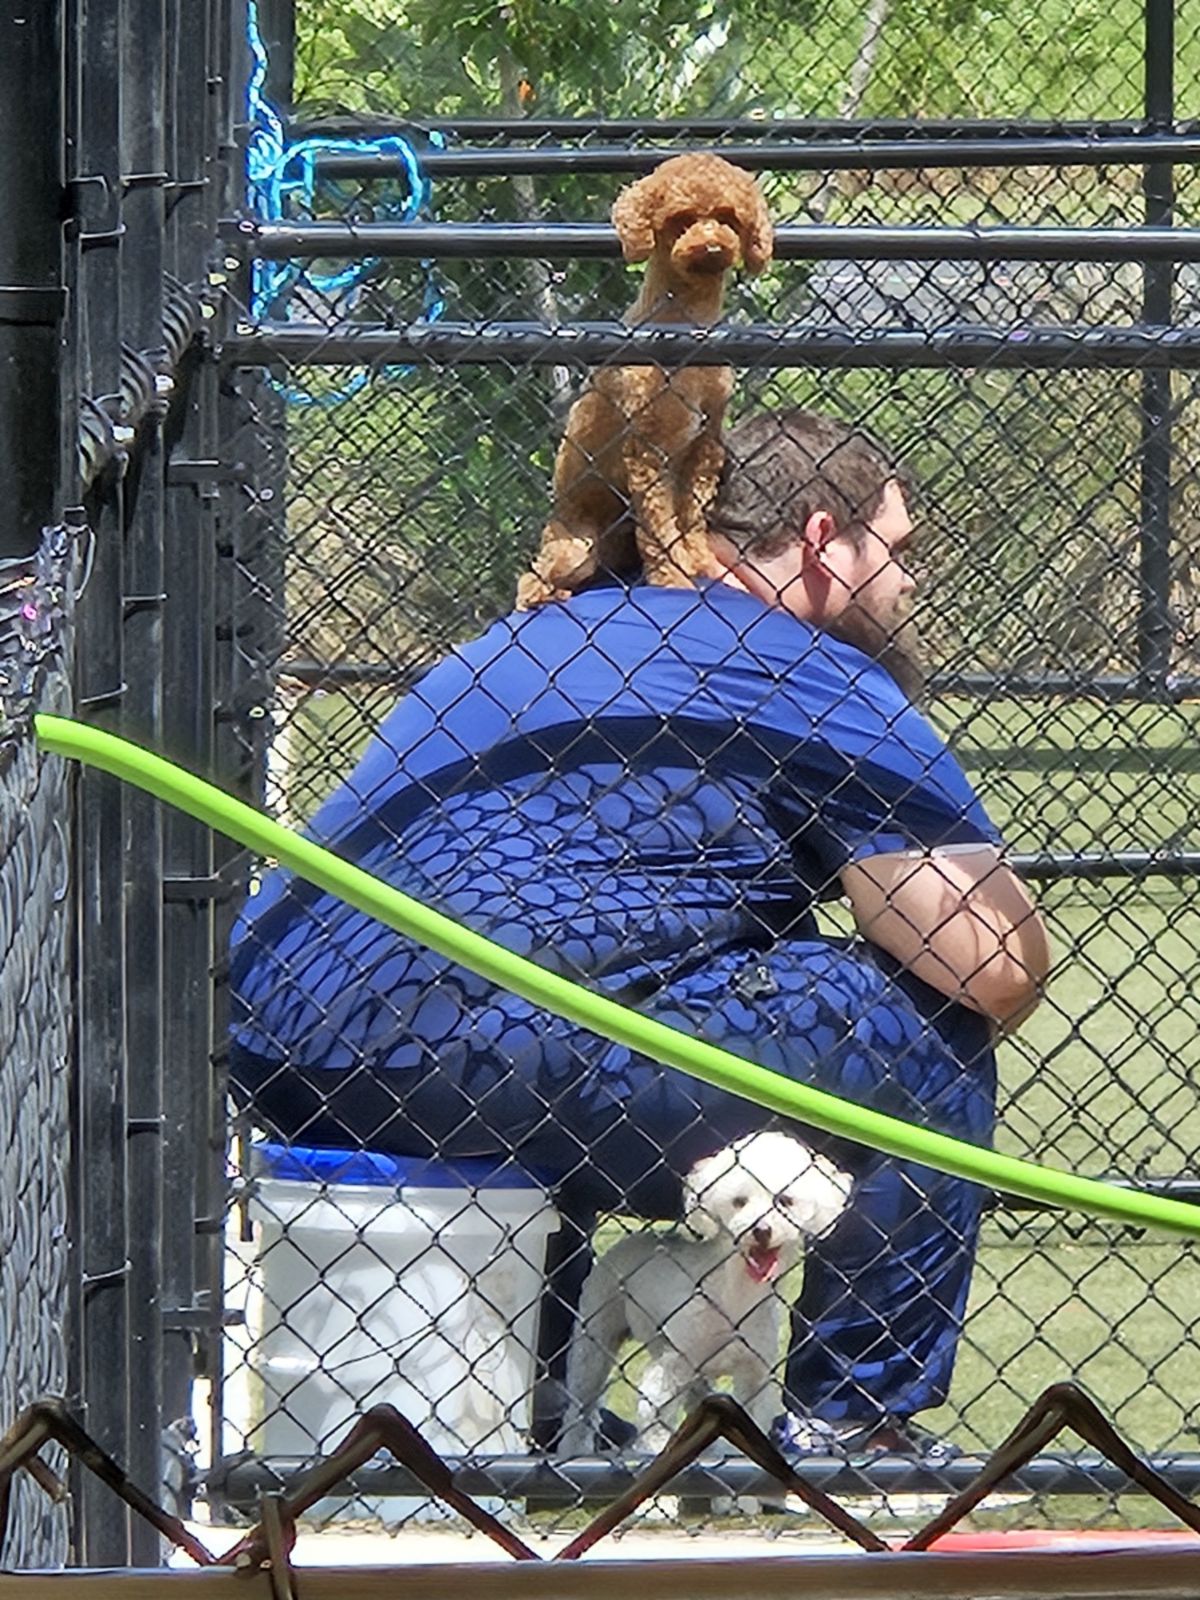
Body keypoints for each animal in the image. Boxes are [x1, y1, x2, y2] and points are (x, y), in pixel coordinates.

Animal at [560, 1132, 851, 1459]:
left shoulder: (755, 1372)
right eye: (739, 1202)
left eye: (785, 1202)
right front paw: (657, 1450)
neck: (734, 1294)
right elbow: (657, 1419)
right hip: (595, 1335)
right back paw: (573, 1449)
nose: (761, 1230)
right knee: (581, 1405)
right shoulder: (672, 1366)